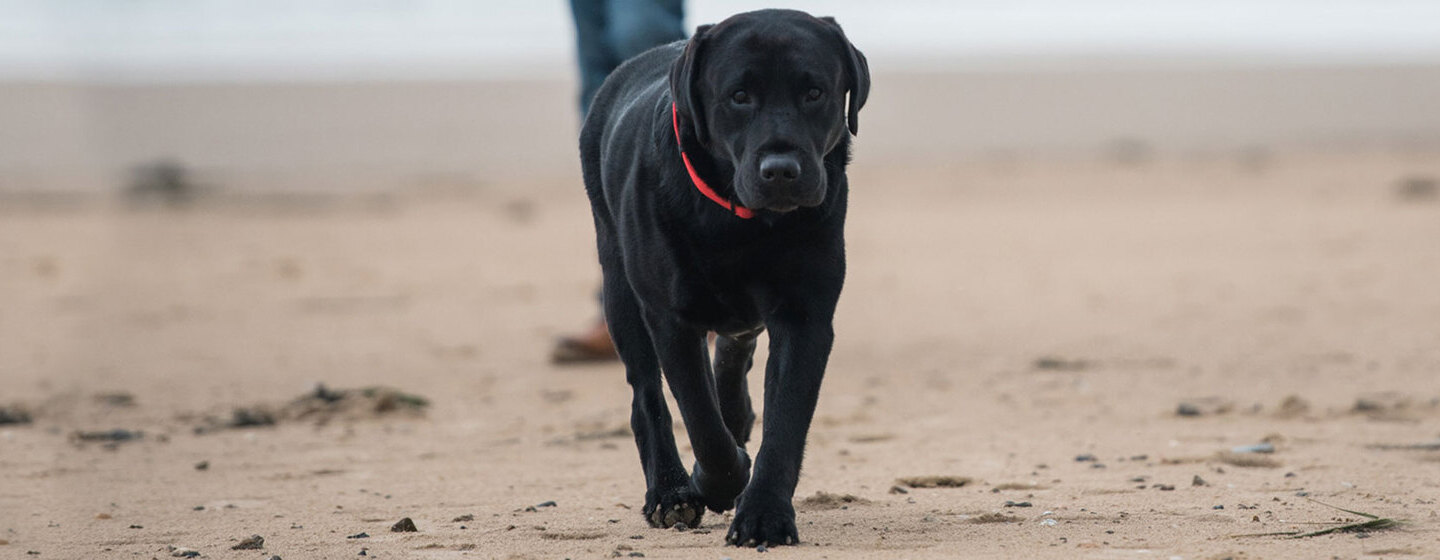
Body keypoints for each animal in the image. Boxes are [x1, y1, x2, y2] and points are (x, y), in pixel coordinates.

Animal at [578, 7, 869, 544]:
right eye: (739, 96)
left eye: (814, 92)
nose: (782, 169)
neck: (742, 225)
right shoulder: (670, 318)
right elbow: (701, 421)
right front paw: (715, 481)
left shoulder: (805, 316)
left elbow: (785, 422)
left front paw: (764, 515)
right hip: (619, 291)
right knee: (648, 396)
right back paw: (669, 491)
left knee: (734, 358)